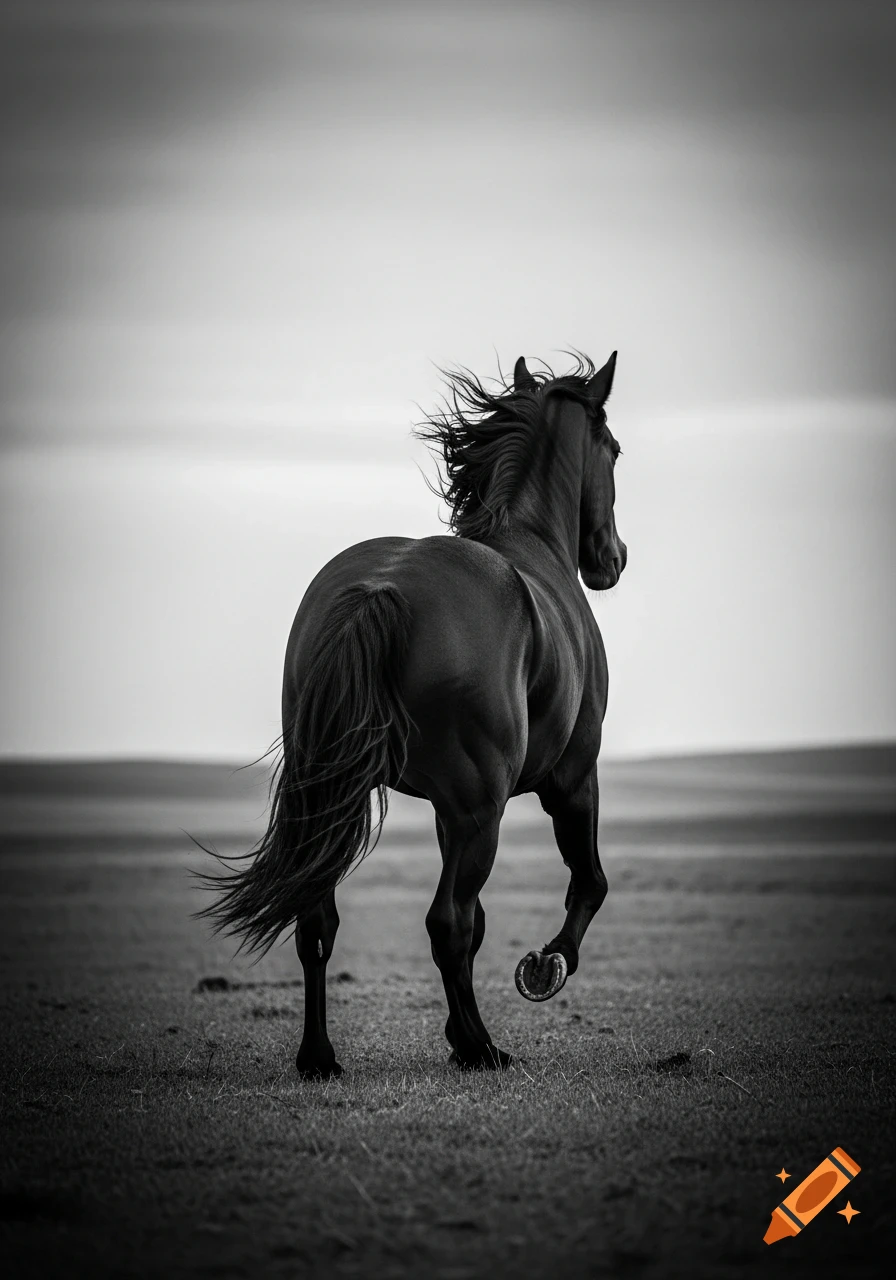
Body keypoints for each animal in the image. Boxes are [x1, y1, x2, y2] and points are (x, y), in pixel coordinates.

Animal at [199, 351, 626, 1074]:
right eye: (615, 450)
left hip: (341, 797)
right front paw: (547, 967)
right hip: (483, 810)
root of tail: (381, 587)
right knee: (447, 921)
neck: (532, 545)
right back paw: (483, 1047)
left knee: (318, 922)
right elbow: (587, 883)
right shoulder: (570, 780)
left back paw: (320, 1056)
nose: (612, 560)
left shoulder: (446, 811)